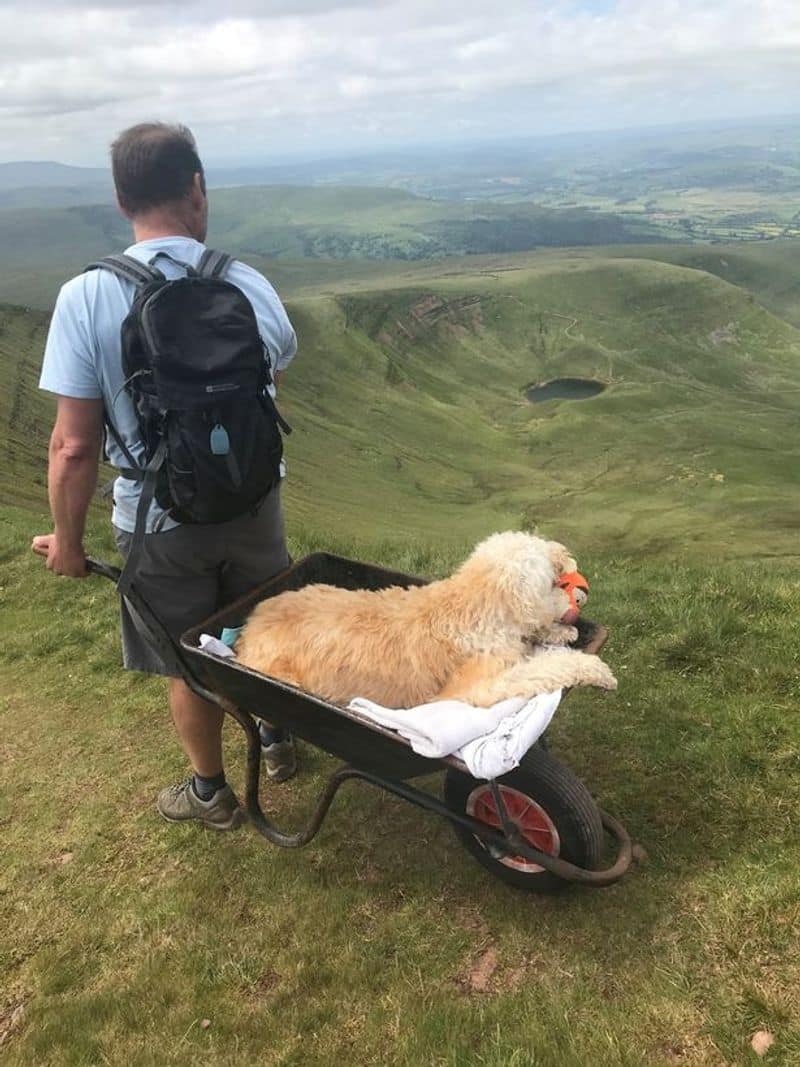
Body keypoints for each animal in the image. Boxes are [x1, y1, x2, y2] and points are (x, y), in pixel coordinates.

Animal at [234, 531, 618, 708]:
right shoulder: (475, 689)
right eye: (554, 580)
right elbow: (544, 668)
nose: (564, 556)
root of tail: (247, 626)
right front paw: (596, 670)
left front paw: (563, 634)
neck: (476, 607)